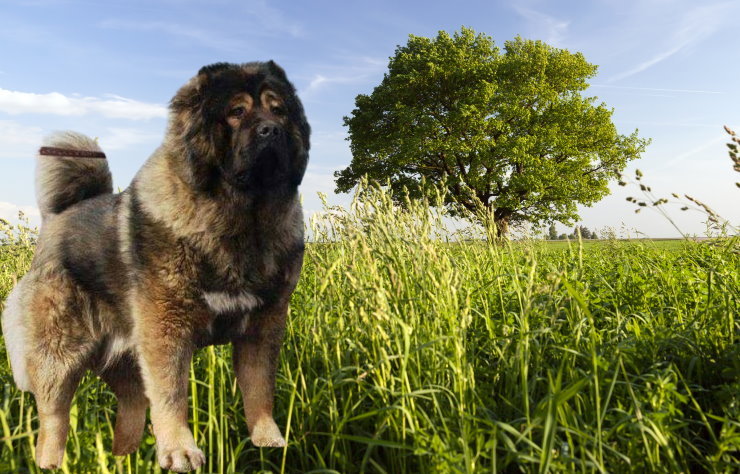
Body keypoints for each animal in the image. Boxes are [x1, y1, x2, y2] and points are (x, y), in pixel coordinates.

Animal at [0, 61, 310, 472]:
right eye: (236, 112)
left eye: (279, 111)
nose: (271, 130)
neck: (240, 217)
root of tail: (58, 218)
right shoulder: (167, 326)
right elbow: (171, 392)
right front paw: (180, 452)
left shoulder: (263, 324)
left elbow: (259, 388)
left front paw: (268, 443)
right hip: (58, 354)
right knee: (53, 416)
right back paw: (52, 462)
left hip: (126, 357)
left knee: (131, 403)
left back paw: (124, 455)